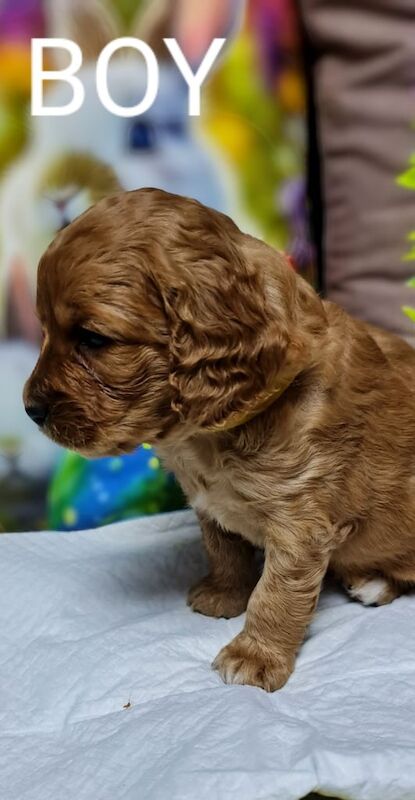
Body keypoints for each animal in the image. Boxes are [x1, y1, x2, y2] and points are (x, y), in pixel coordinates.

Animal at [24, 191, 415, 692]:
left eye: (93, 339)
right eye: (44, 330)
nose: (31, 409)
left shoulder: (300, 521)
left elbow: (277, 592)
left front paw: (255, 655)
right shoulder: (209, 502)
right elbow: (223, 550)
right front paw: (224, 595)